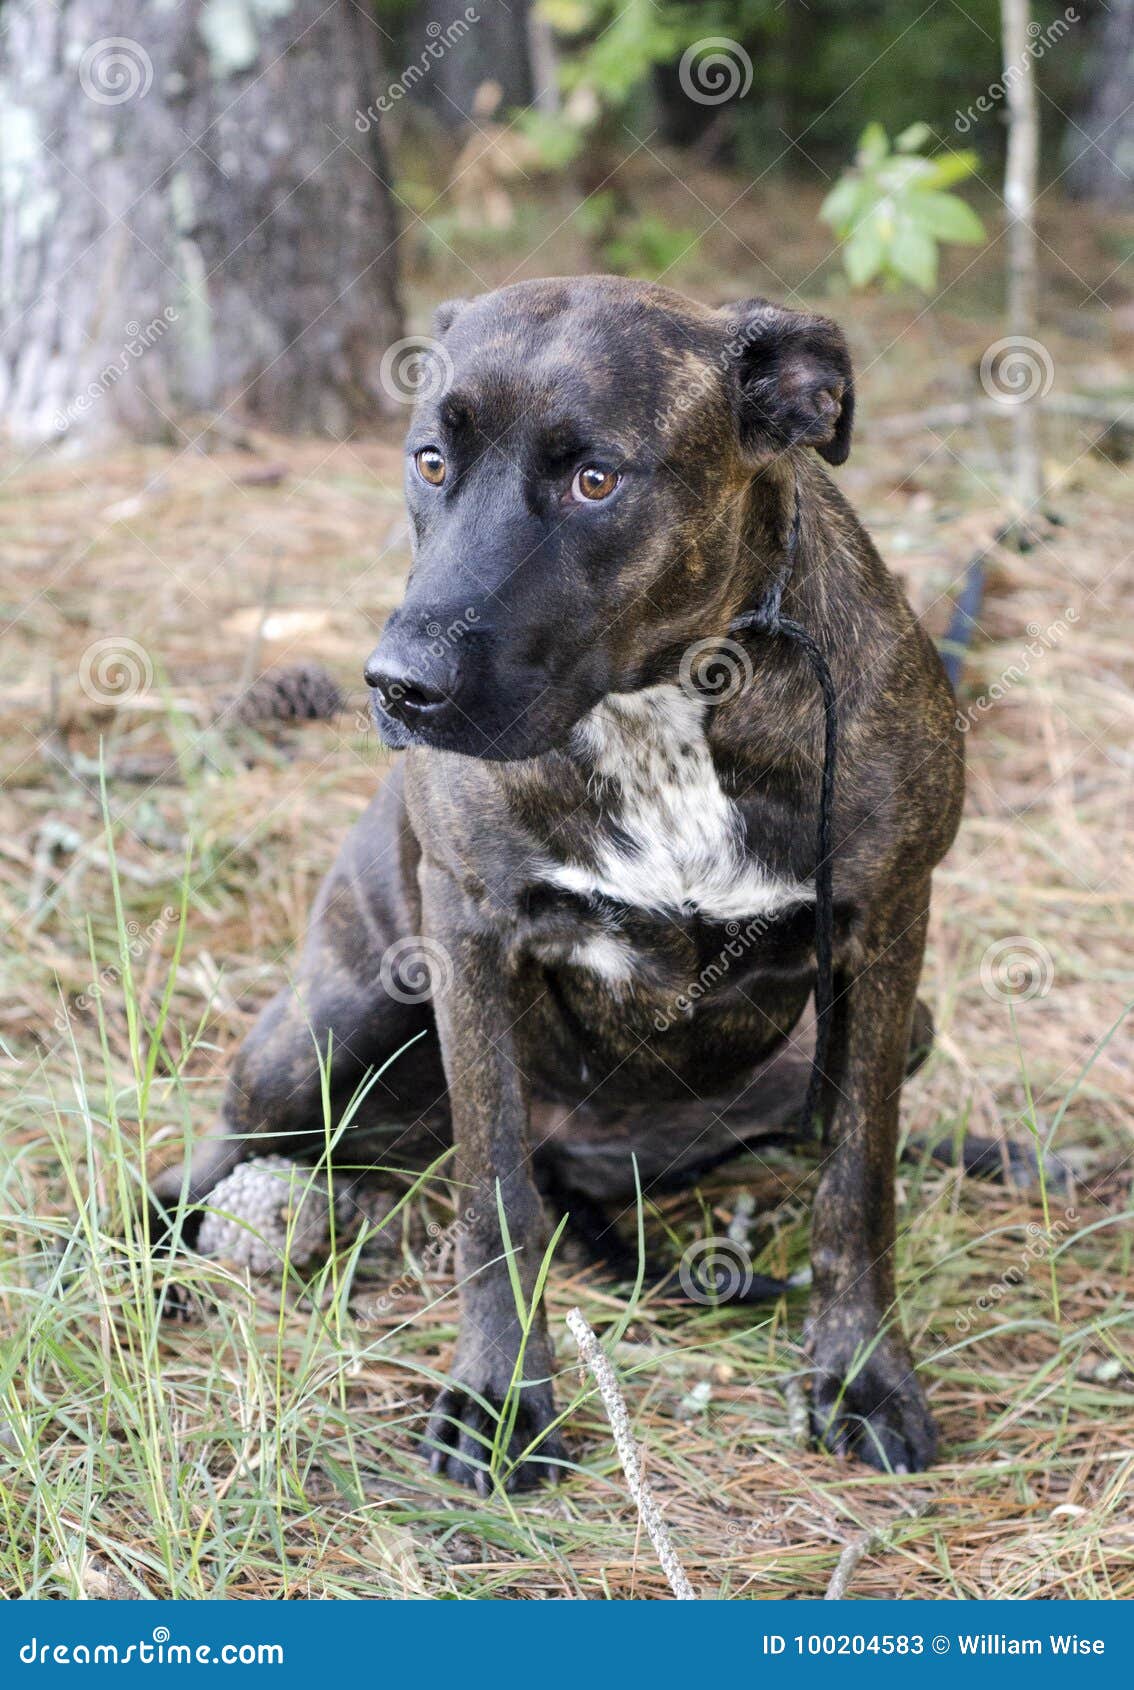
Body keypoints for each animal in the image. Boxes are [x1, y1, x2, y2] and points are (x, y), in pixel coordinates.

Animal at [155, 277, 959, 1493]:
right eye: (430, 461)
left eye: (595, 480)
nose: (397, 684)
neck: (665, 703)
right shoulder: (471, 939)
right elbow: (494, 1198)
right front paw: (500, 1398)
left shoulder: (887, 926)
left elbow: (856, 1183)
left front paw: (863, 1375)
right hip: (335, 1027)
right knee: (213, 1151)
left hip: (888, 1033)